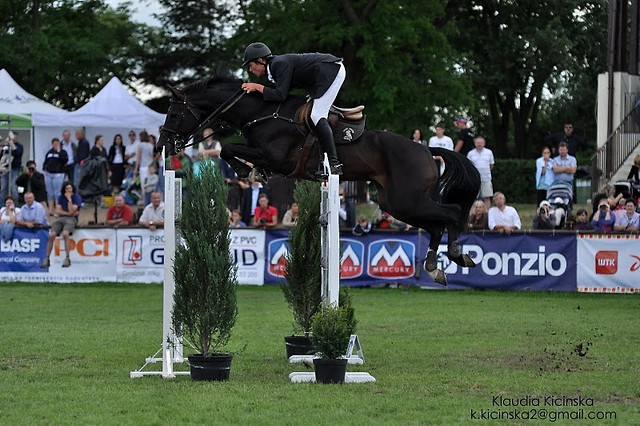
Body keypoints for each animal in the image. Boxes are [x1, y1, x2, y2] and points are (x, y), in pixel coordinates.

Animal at [159, 74, 480, 284]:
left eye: (173, 114)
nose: (165, 143)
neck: (264, 112)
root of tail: (426, 149)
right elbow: (231, 149)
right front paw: (250, 171)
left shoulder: (274, 157)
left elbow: (228, 148)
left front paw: (245, 170)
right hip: (397, 204)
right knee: (436, 222)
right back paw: (434, 267)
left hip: (407, 200)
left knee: (451, 213)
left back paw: (456, 255)